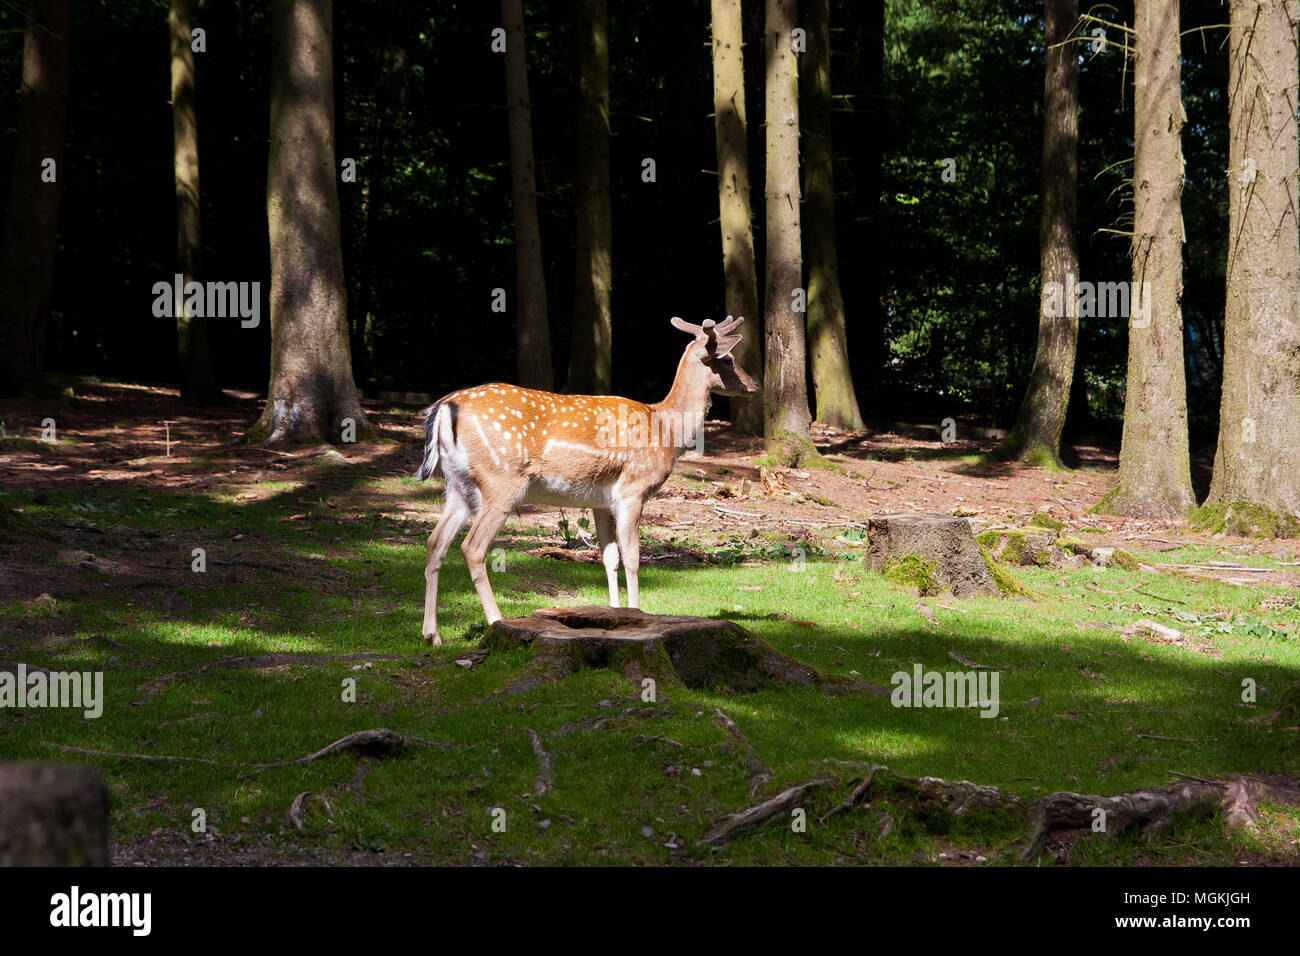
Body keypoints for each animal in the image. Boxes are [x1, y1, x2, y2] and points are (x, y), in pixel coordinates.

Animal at [416, 317, 759, 647]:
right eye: (729, 359)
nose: (754, 385)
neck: (666, 428)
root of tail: (443, 407)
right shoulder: (634, 488)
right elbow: (633, 556)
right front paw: (638, 613)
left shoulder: (600, 501)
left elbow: (609, 557)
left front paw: (615, 614)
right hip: (501, 480)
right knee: (472, 547)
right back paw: (495, 622)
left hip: (458, 485)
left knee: (434, 542)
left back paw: (433, 635)